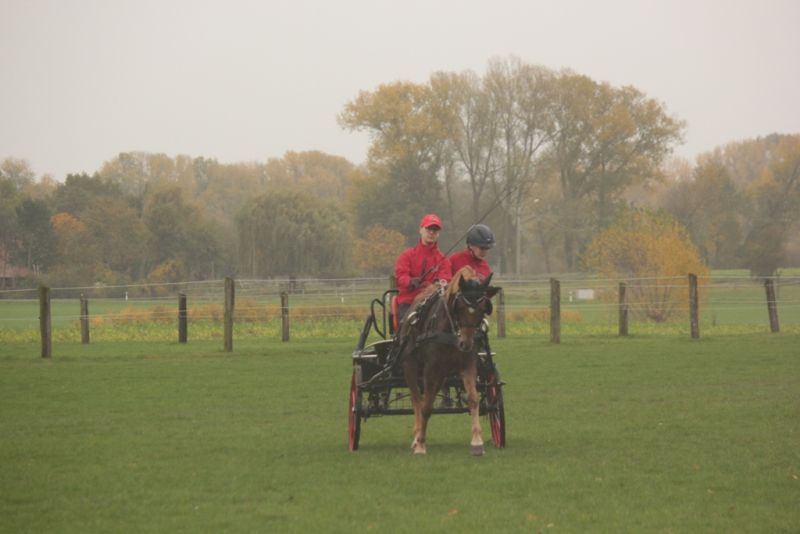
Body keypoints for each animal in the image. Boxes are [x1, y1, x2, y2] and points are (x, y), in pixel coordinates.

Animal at [397, 265, 500, 455]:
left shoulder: (468, 364)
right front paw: (421, 444)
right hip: (410, 365)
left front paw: (477, 442)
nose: (466, 343)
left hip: (442, 373)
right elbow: (426, 406)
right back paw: (416, 437)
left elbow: (473, 400)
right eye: (459, 307)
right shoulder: (430, 367)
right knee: (417, 399)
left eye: (483, 308)